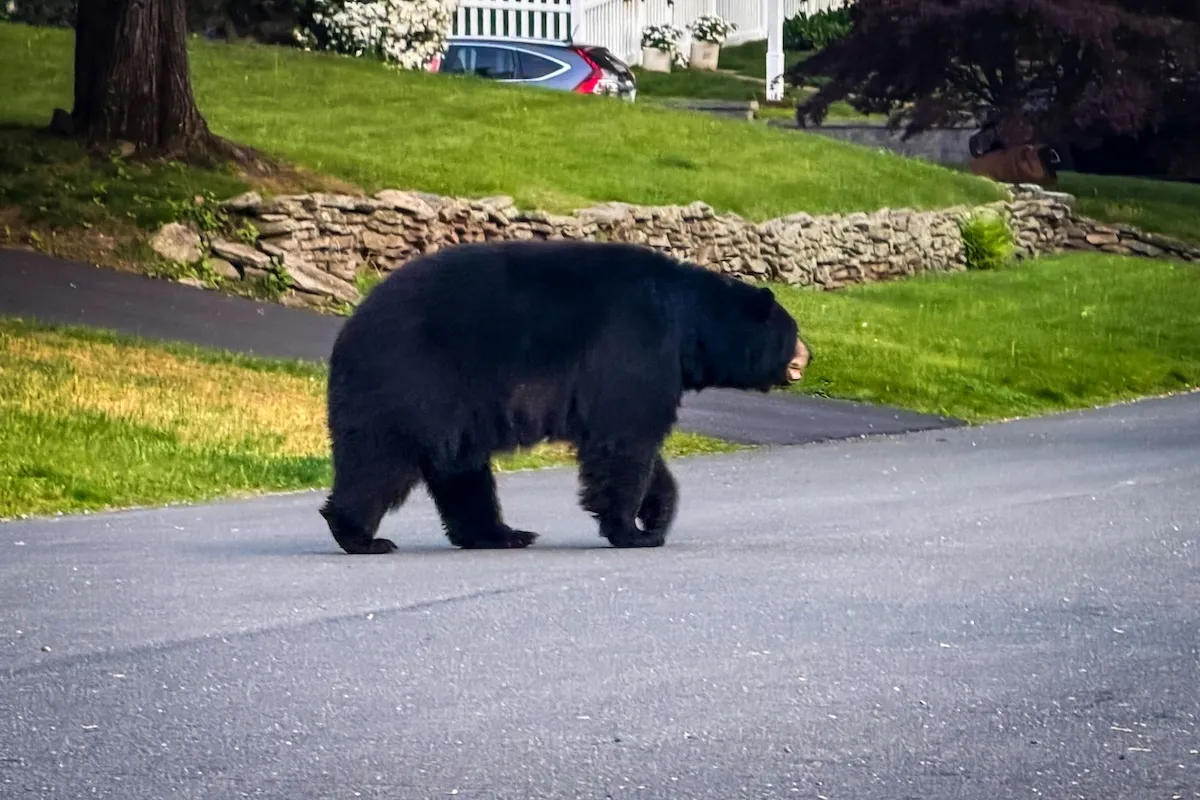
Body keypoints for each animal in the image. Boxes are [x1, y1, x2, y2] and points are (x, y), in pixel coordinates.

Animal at [319, 239, 811, 554]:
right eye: (794, 330)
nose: (809, 353)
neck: (690, 326)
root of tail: (351, 326)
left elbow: (628, 443)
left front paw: (655, 514)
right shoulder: (637, 343)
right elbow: (626, 438)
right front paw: (630, 531)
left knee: (461, 469)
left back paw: (501, 534)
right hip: (410, 381)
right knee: (381, 459)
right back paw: (360, 535)